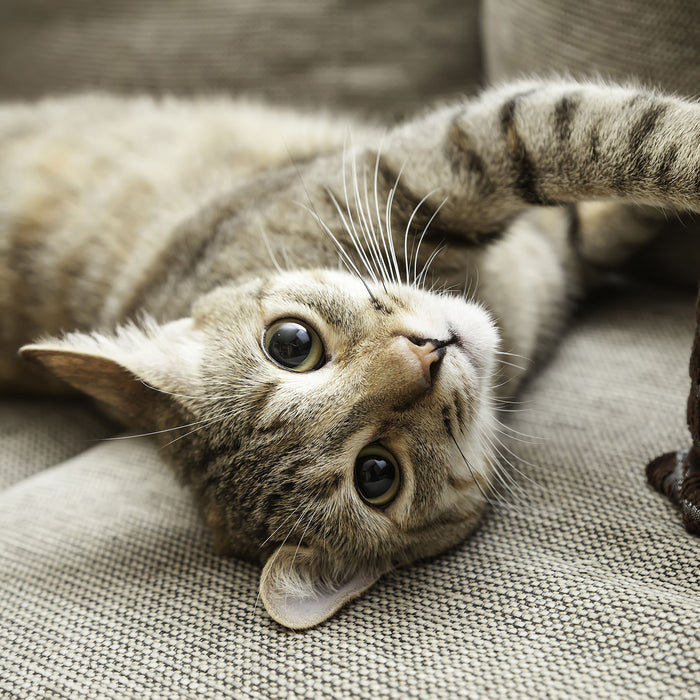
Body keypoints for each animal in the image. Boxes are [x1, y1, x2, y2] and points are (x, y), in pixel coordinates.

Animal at [0, 80, 696, 628]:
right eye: (376, 474)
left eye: (291, 343)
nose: (427, 354)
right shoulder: (452, 156)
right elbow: (624, 134)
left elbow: (614, 173)